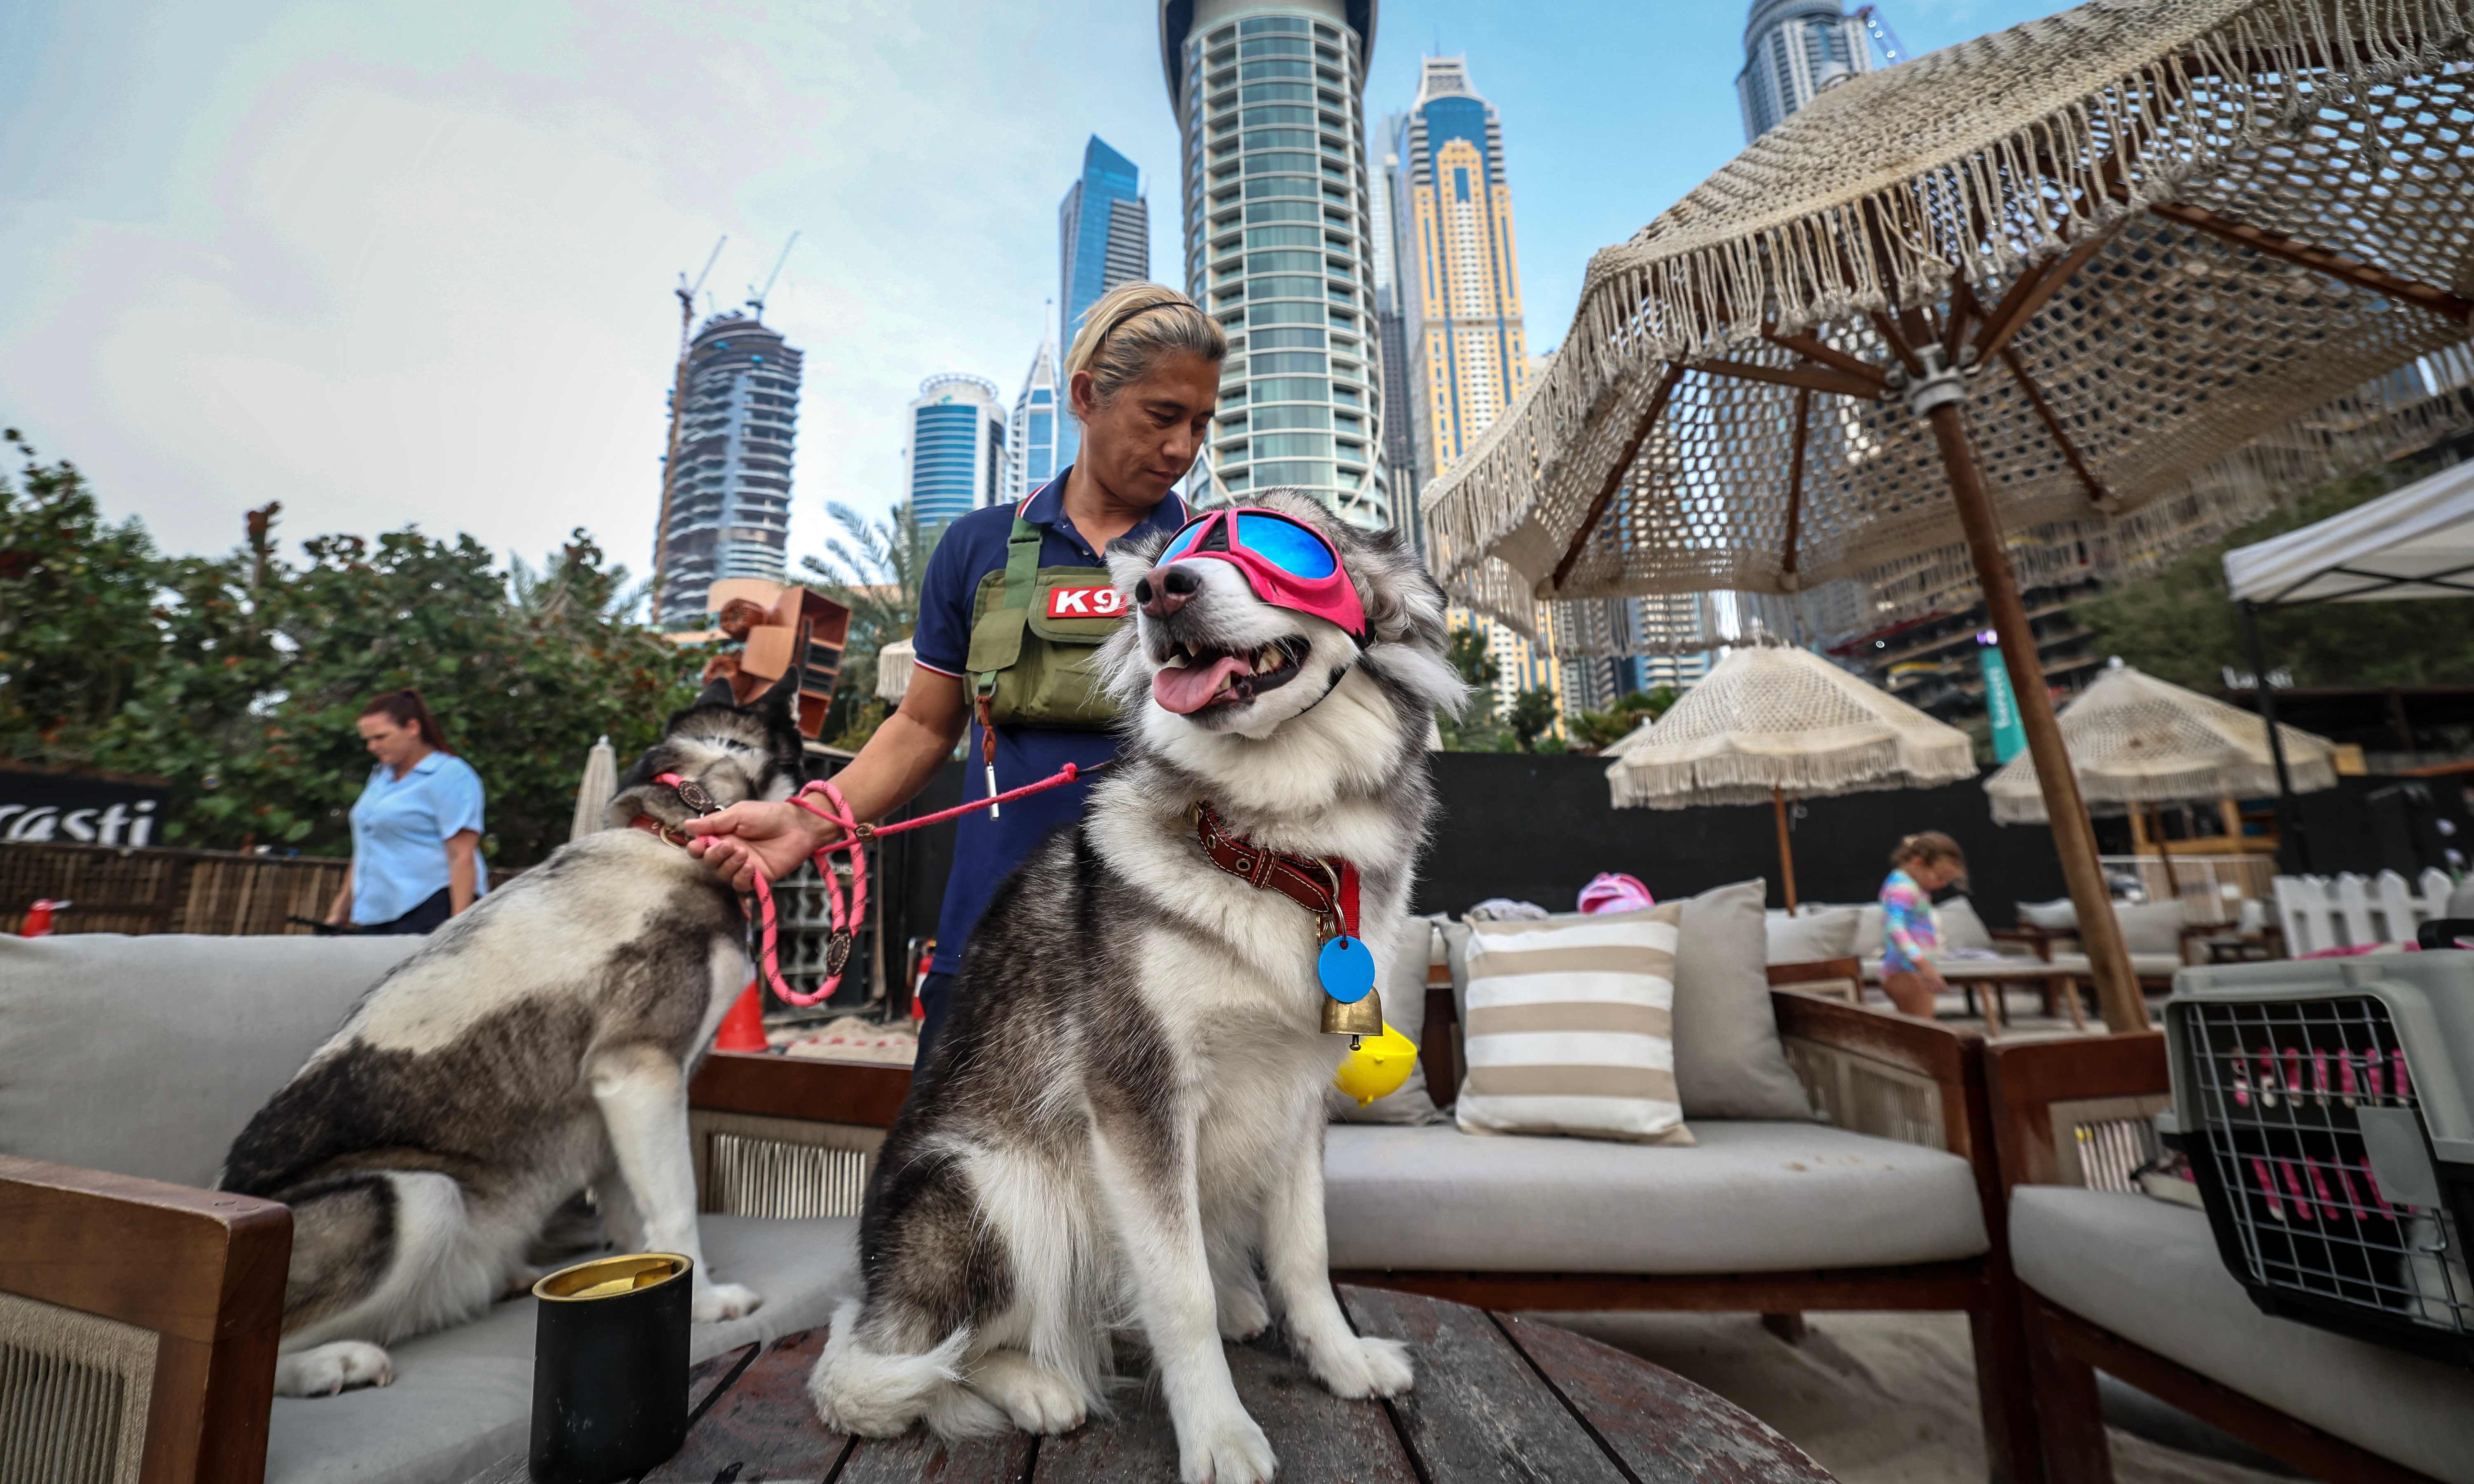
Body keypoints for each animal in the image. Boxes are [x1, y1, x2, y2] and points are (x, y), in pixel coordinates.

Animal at [218, 674, 806, 1397]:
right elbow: (676, 1207)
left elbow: (635, 1217)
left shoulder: (616, 1112)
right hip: (415, 1196)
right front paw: (704, 1302)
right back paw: (338, 1362)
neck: (665, 837)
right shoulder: (640, 1076)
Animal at [808, 490, 1466, 1484]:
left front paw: (1340, 1360)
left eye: (1287, 546)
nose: (1163, 590)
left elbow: (1306, 1254)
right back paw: (1037, 1384)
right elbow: (1178, 1290)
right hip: (997, 1189)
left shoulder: (1300, 1086)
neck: (1268, 847)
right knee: (933, 1355)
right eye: (1177, 552)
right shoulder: (1136, 1091)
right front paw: (1219, 1433)